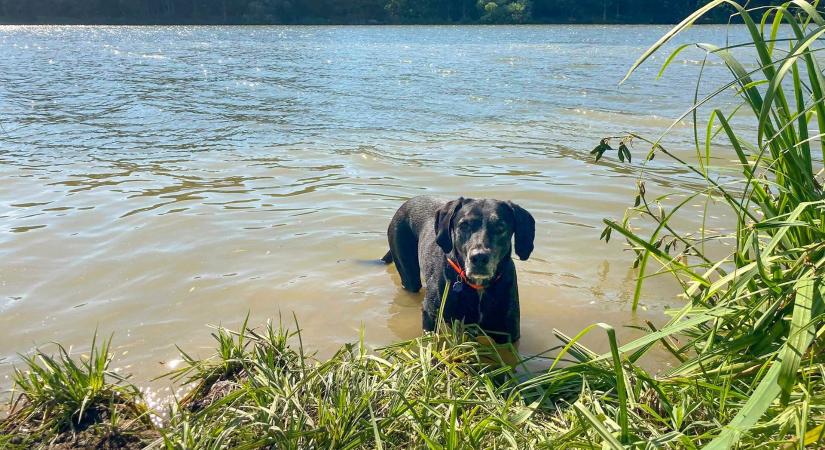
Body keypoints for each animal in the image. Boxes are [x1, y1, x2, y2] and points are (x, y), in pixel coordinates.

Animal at [380, 195, 536, 342]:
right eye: (464, 225)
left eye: (500, 227)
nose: (479, 257)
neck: (478, 286)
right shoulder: (430, 315)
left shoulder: (508, 334)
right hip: (408, 273)